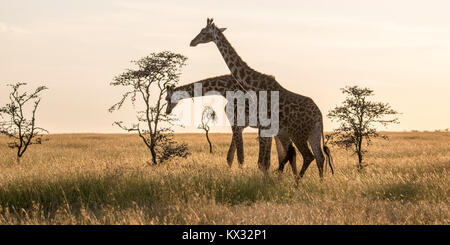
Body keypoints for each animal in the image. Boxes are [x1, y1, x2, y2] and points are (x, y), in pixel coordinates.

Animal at [165, 74, 298, 174]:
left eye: (166, 98)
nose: (167, 111)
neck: (225, 89)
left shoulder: (237, 123)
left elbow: (240, 155)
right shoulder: (239, 125)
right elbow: (230, 156)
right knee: (284, 153)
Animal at [190, 17, 334, 178]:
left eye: (203, 32)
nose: (192, 42)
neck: (255, 86)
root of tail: (319, 115)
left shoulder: (265, 127)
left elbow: (263, 162)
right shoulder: (266, 128)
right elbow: (265, 162)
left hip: (299, 134)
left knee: (309, 156)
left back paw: (297, 180)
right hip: (313, 133)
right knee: (319, 157)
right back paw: (317, 181)